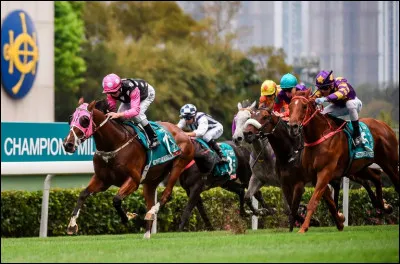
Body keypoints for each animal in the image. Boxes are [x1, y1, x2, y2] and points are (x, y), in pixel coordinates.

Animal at [61, 98, 195, 238]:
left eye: (85, 120)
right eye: (70, 118)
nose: (67, 144)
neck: (114, 144)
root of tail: (183, 133)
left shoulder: (133, 180)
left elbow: (116, 199)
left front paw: (128, 217)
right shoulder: (102, 180)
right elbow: (83, 194)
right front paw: (72, 225)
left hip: (179, 164)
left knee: (166, 194)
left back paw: (151, 213)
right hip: (151, 181)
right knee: (150, 201)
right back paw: (147, 233)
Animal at [288, 88, 396, 233]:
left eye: (304, 106)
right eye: (289, 106)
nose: (292, 127)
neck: (319, 136)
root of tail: (385, 125)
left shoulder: (325, 172)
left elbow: (313, 201)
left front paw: (304, 228)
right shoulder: (316, 176)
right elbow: (330, 203)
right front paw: (340, 221)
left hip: (390, 164)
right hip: (359, 168)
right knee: (376, 177)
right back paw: (384, 206)